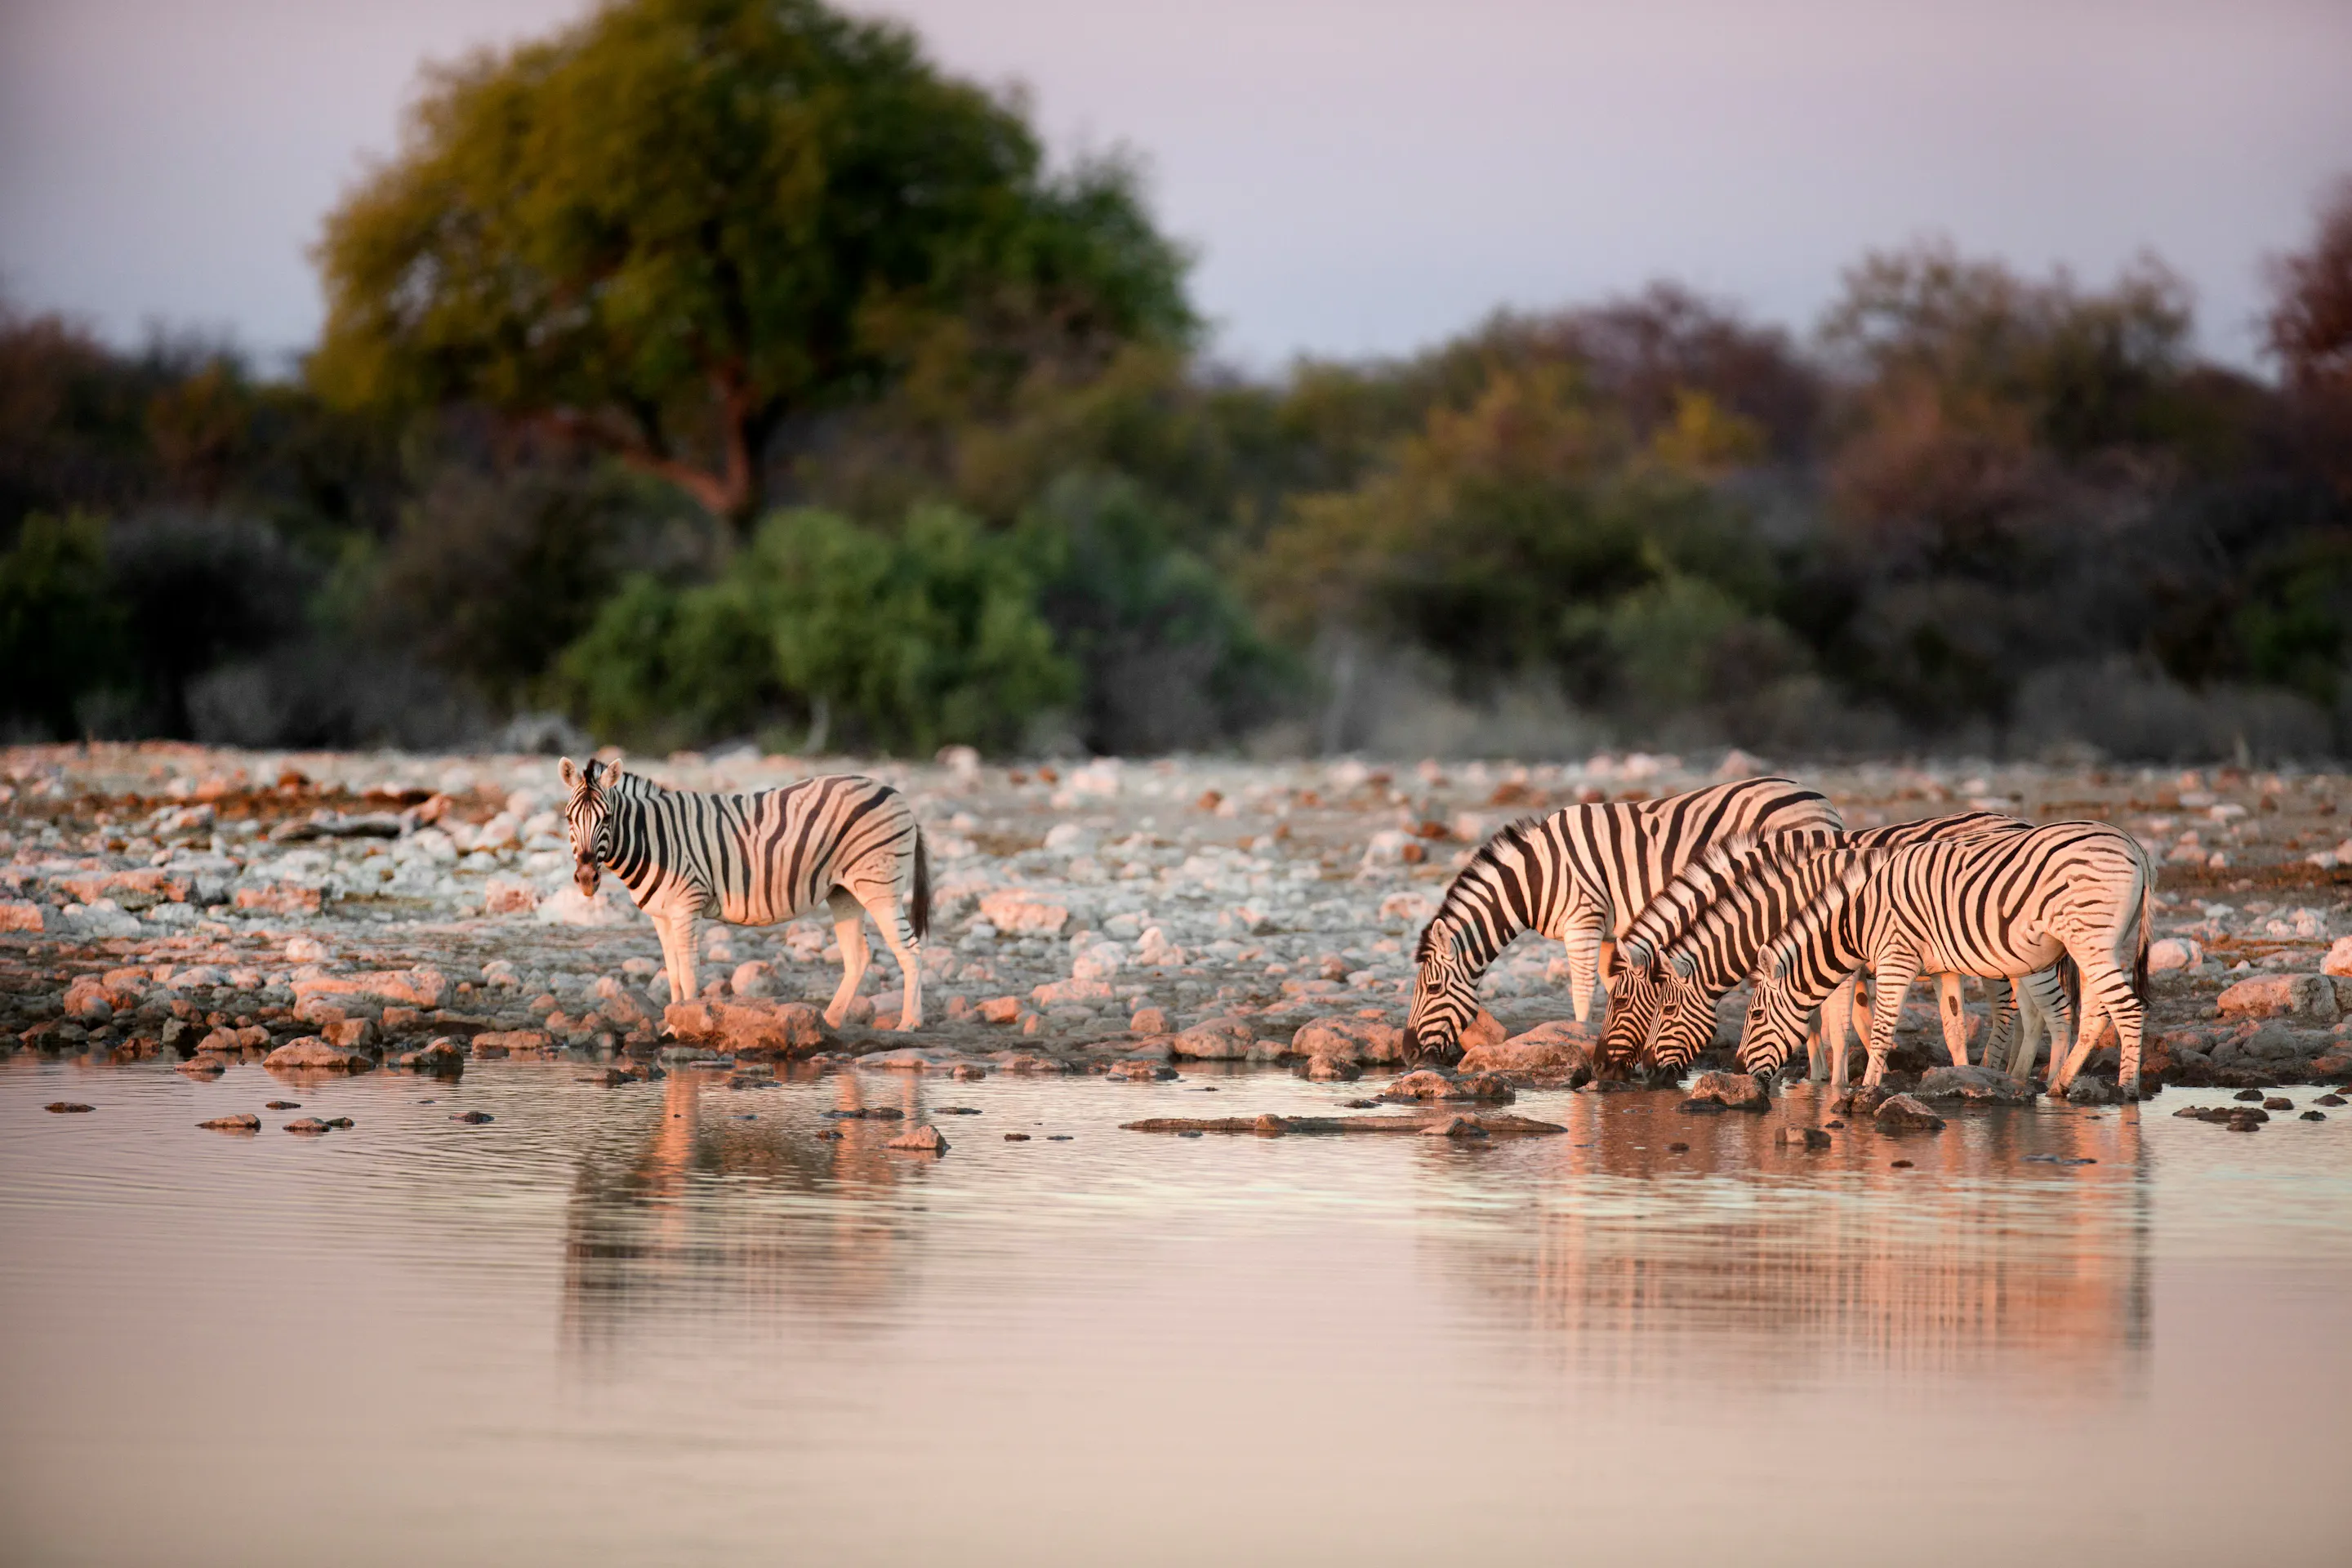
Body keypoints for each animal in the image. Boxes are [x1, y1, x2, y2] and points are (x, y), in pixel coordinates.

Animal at [558, 757, 930, 1030]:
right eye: (569, 819)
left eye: (607, 817)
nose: (587, 878)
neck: (653, 838)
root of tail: (895, 793)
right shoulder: (661, 916)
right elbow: (673, 972)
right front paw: (673, 1020)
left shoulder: (687, 906)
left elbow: (689, 970)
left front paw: (682, 1026)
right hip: (843, 891)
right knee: (858, 956)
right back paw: (830, 1020)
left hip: (879, 886)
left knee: (909, 949)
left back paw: (909, 1023)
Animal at [1405, 777, 1843, 1065]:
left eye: (1431, 988)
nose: (1408, 1054)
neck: (1534, 878)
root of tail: (1822, 800)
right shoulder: (1606, 932)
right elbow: (1612, 984)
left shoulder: (1583, 919)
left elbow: (1582, 991)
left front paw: (1577, 1038)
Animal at [1602, 812, 2036, 1081]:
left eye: (1623, 1004)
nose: (1603, 1069)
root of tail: (2017, 820)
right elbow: (1815, 1020)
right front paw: (1816, 1077)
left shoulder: (1834, 957)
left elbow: (1836, 1025)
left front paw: (1833, 1085)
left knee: (2011, 1013)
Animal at [1737, 822, 2156, 1096]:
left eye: (1755, 1015)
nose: (1740, 1068)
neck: (1856, 920)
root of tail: (2133, 844)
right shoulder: (1942, 970)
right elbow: (1953, 1027)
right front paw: (1963, 1079)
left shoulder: (1896, 956)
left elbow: (1881, 1027)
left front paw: (1867, 1089)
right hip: (2092, 945)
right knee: (2096, 1014)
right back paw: (2059, 1085)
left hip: (2088, 939)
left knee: (2127, 1009)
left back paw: (2127, 1090)